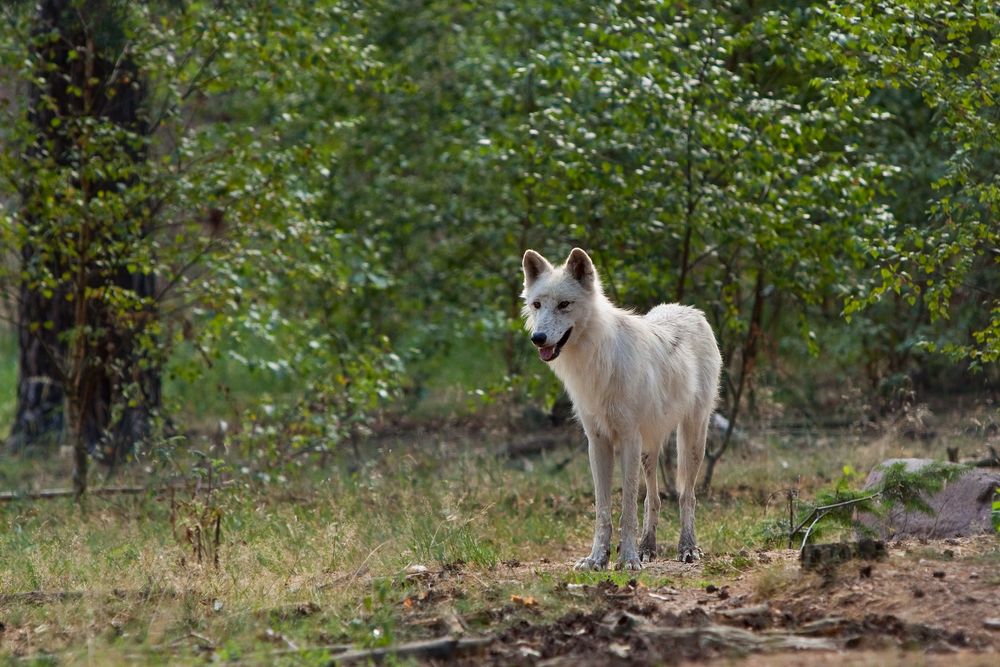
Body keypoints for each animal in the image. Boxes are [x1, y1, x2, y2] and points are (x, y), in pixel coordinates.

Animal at [520, 248, 724, 572]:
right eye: (537, 305)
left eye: (564, 304)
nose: (537, 338)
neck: (595, 360)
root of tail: (690, 310)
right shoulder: (598, 443)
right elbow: (603, 510)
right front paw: (598, 559)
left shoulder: (628, 439)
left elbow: (627, 506)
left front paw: (627, 559)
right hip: (649, 448)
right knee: (653, 499)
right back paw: (647, 548)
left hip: (691, 439)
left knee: (686, 495)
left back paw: (687, 548)